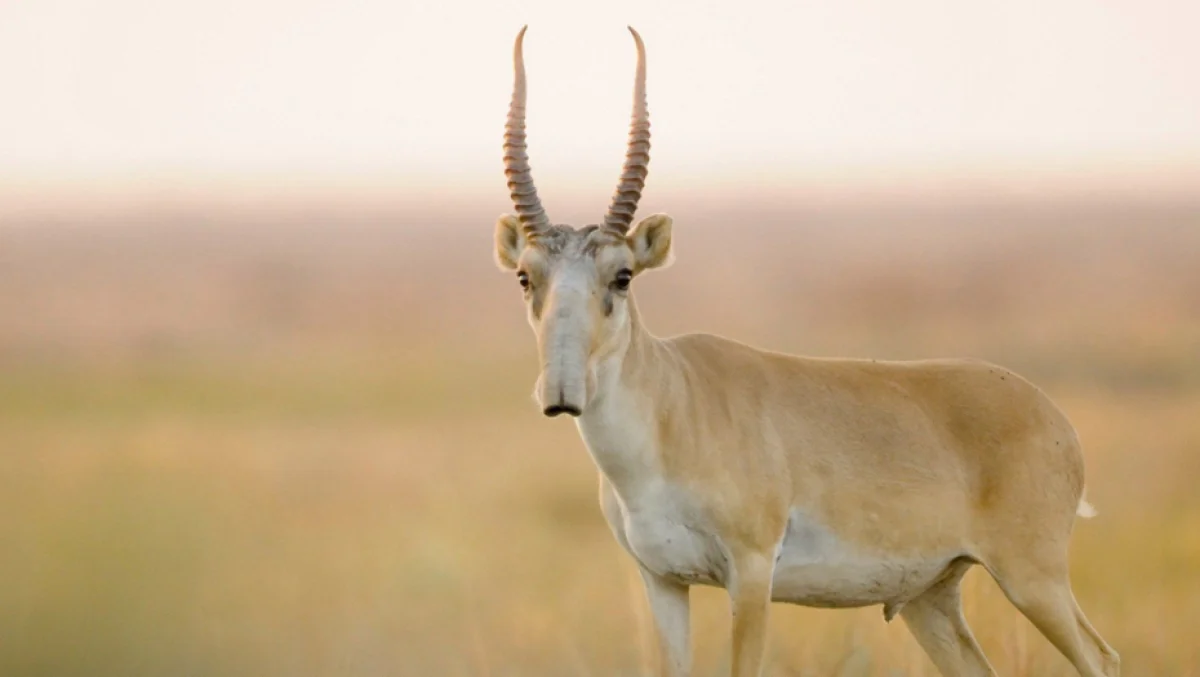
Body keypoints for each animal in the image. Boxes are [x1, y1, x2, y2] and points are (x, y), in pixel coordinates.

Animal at [492, 26, 1118, 677]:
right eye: (525, 276)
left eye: (622, 276)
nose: (561, 392)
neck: (673, 406)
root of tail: (1053, 417)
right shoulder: (663, 581)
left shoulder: (750, 573)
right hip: (932, 598)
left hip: (1031, 579)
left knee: (1102, 658)